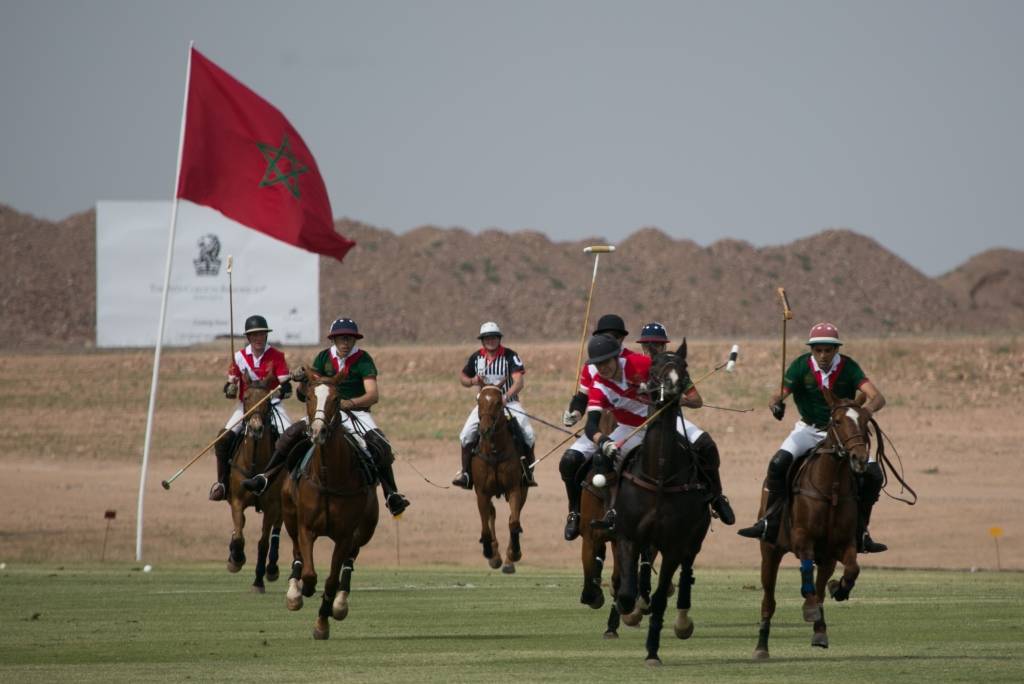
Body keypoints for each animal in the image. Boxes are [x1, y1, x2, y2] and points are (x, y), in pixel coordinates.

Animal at [226, 376, 282, 589]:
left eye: (268, 399)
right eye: (247, 397)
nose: (256, 428)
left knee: (276, 533)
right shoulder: (237, 501)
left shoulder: (272, 506)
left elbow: (263, 543)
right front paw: (236, 559)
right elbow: (239, 534)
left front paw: (259, 579)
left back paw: (272, 569)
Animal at [280, 368, 380, 643]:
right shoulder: (306, 527)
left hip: (365, 530)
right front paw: (303, 590)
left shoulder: (345, 535)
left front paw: (322, 623)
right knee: (296, 553)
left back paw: (340, 604)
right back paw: (294, 594)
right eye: (308, 397)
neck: (327, 476)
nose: (318, 431)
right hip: (289, 516)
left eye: (337, 399)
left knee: (349, 563)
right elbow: (309, 573)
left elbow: (332, 580)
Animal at [473, 385, 532, 573]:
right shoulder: (482, 492)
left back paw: (507, 559)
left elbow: (513, 522)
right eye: (479, 400)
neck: (494, 451)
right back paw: (495, 555)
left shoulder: (514, 489)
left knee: (513, 517)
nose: (485, 430)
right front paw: (489, 551)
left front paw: (514, 554)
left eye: (499, 402)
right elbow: (485, 526)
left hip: (523, 489)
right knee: (491, 513)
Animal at [606, 339, 712, 663]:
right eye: (653, 368)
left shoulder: (675, 544)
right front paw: (629, 611)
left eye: (684, 367)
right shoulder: (627, 535)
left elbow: (661, 596)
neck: (660, 476)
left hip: (694, 538)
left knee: (686, 574)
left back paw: (682, 622)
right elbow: (627, 592)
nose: (674, 386)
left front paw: (652, 651)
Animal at [753, 389, 880, 663]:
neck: (831, 488)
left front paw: (839, 589)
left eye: (866, 422)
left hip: (827, 558)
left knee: (820, 587)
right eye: (837, 421)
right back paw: (761, 646)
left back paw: (820, 631)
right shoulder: (803, 539)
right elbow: (805, 570)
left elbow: (852, 570)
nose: (859, 459)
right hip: (770, 551)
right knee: (769, 600)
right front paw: (809, 606)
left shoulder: (842, 545)